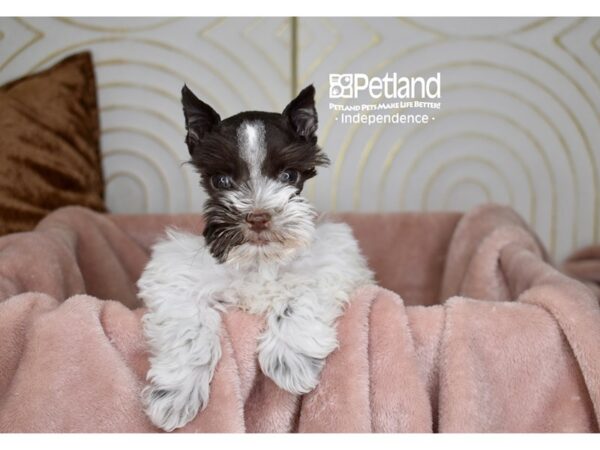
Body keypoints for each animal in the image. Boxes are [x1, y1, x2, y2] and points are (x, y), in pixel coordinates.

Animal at [138, 82, 372, 430]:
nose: (258, 217)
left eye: (289, 176)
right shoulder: (173, 275)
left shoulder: (333, 260)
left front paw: (291, 360)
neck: (259, 260)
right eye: (221, 180)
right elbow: (189, 325)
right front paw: (175, 395)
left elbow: (301, 296)